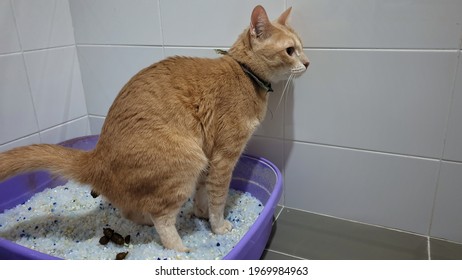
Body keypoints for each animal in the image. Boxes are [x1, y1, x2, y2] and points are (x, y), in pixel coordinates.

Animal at [0, 5, 310, 252]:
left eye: (302, 47)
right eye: (289, 51)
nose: (307, 63)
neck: (245, 75)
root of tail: (97, 157)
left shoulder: (209, 158)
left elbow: (203, 191)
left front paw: (199, 212)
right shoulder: (223, 157)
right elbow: (218, 198)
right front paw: (218, 226)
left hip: (191, 161)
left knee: (131, 210)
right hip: (186, 161)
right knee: (161, 218)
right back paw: (180, 250)